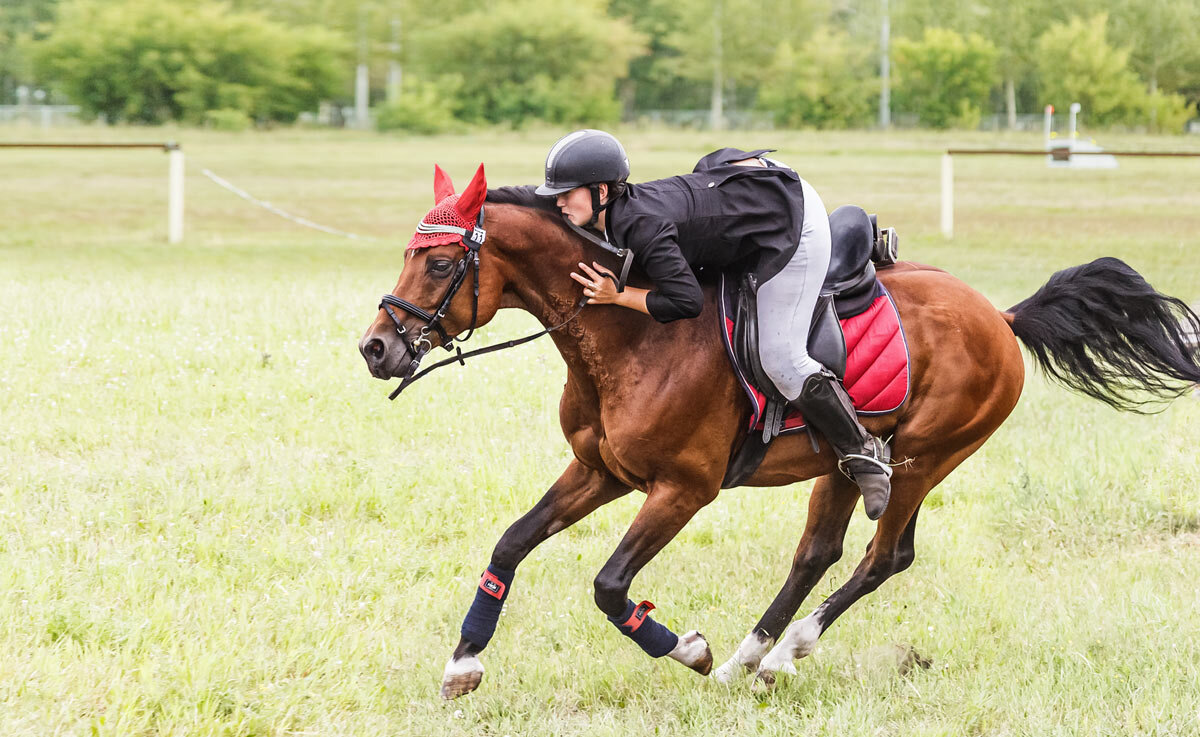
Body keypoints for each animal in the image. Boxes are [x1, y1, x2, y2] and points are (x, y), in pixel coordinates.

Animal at [355, 164, 1200, 700]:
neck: (629, 338)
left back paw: (775, 653)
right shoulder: (601, 471)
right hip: (844, 461)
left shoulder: (682, 487)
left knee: (883, 553)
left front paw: (686, 649)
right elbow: (510, 543)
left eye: (439, 264)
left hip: (925, 456)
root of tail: (1001, 314)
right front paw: (463, 664)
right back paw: (750, 657)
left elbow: (609, 584)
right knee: (817, 552)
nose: (376, 348)